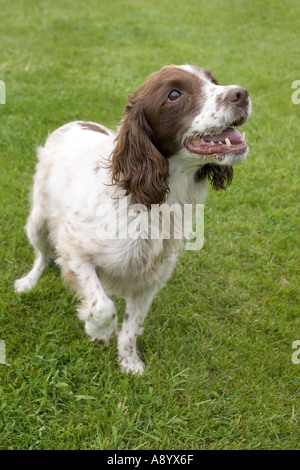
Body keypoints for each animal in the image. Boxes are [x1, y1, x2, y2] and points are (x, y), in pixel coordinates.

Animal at [15, 65, 252, 374]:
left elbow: (132, 326)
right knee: (42, 256)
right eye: (174, 95)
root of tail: (76, 122)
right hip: (37, 222)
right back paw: (28, 282)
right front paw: (97, 330)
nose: (241, 93)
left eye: (213, 81)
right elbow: (103, 305)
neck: (152, 202)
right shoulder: (74, 250)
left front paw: (129, 362)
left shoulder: (149, 279)